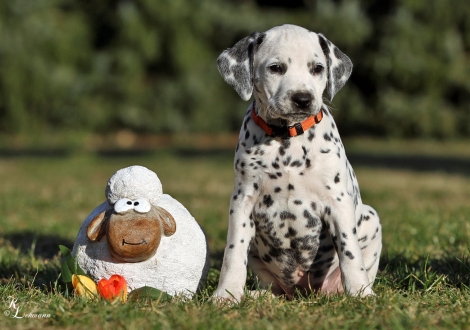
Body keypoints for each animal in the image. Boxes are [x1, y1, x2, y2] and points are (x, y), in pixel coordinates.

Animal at [213, 24, 382, 300]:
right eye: (276, 68)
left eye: (317, 68)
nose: (302, 99)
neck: (287, 138)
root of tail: (301, 293)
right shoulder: (242, 201)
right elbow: (233, 252)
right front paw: (226, 294)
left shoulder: (338, 202)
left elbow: (349, 252)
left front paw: (361, 293)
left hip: (371, 218)